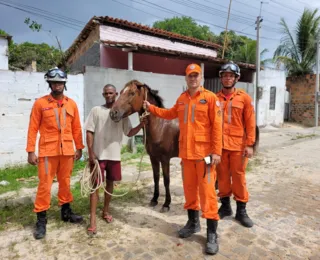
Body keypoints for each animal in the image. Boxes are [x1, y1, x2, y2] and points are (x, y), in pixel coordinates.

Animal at [110, 79, 180, 211]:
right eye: (120, 92)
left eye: (132, 93)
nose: (113, 113)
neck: (160, 126)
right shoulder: (153, 158)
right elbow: (156, 177)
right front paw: (154, 199)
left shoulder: (165, 159)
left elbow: (166, 180)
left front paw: (166, 204)